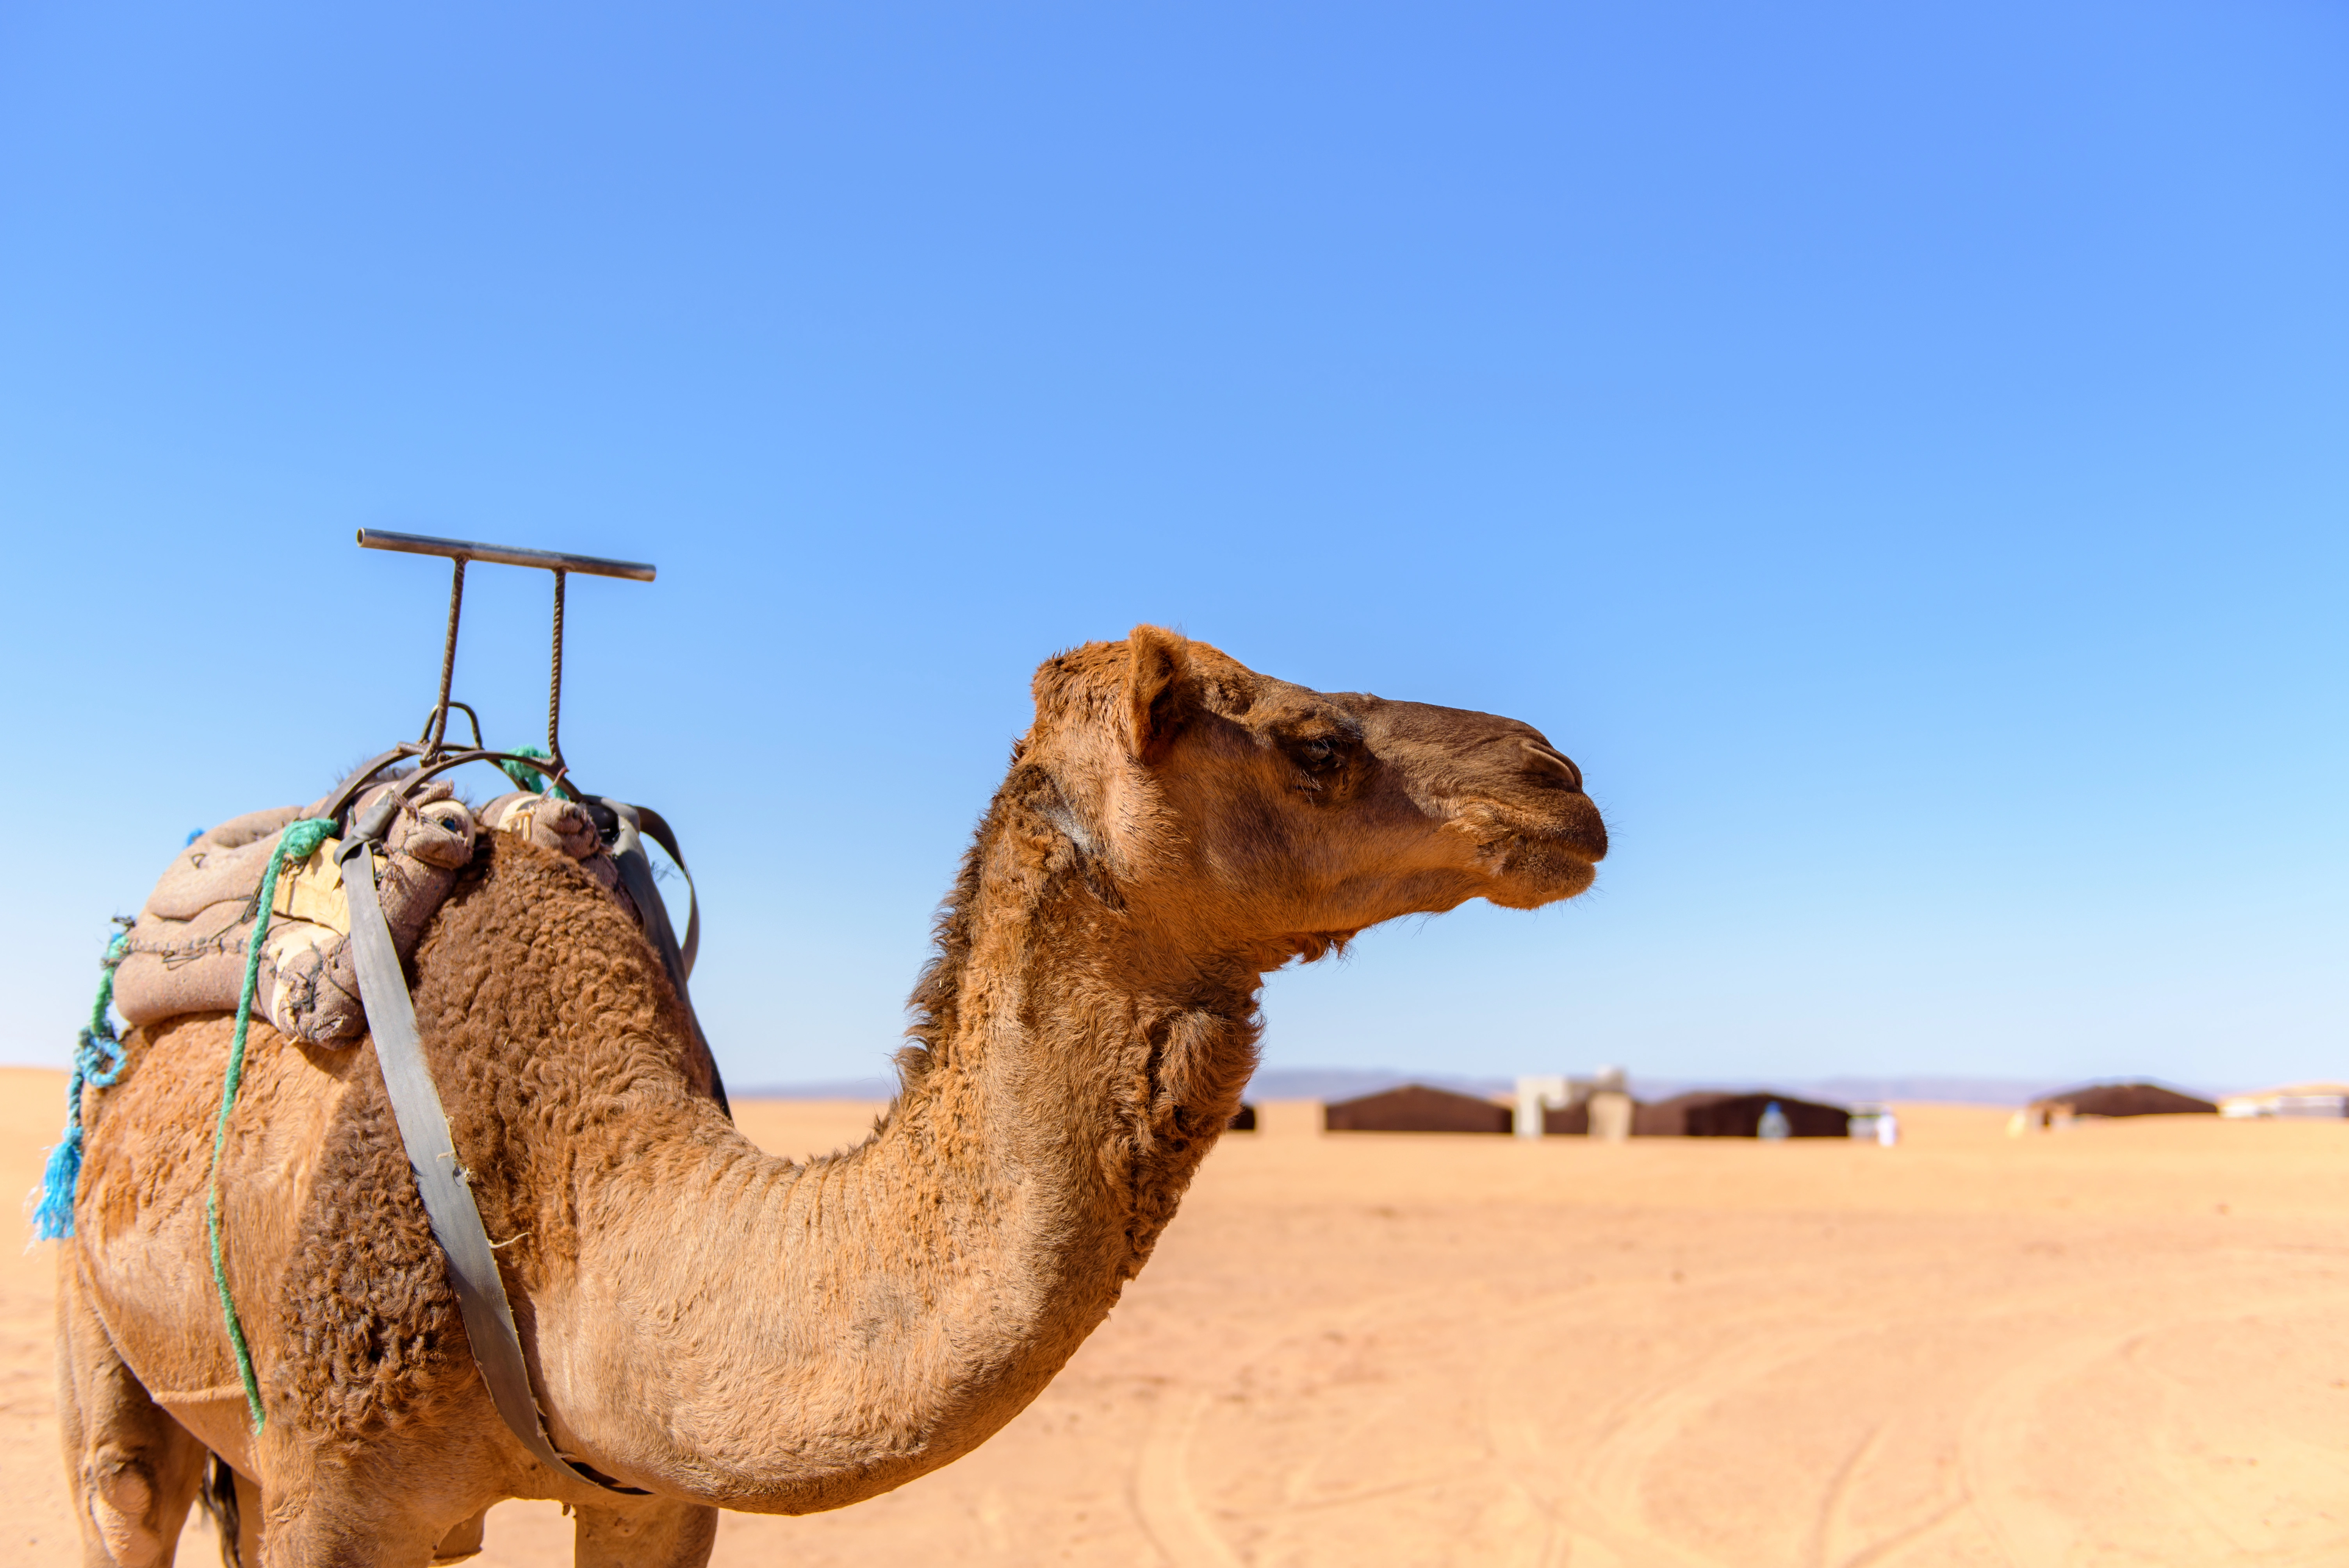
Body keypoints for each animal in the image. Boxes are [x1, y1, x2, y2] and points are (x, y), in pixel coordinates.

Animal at [57, 626, 1607, 1567]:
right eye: (1313, 746)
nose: (1560, 781)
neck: (562, 1221)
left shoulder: (662, 1499)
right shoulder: (339, 1486)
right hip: (94, 1300)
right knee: (123, 1488)